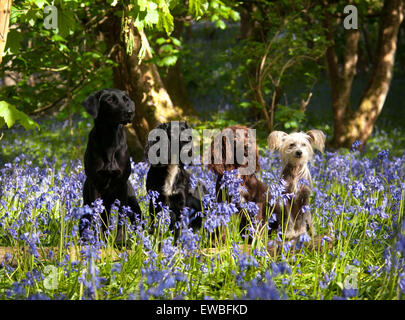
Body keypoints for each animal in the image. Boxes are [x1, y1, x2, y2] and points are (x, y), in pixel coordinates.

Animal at [79, 87, 141, 242]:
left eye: (126, 99)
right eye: (110, 100)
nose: (130, 112)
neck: (110, 139)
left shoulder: (122, 185)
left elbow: (121, 217)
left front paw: (120, 240)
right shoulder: (95, 185)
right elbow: (96, 218)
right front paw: (99, 240)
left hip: (134, 204)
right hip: (86, 206)